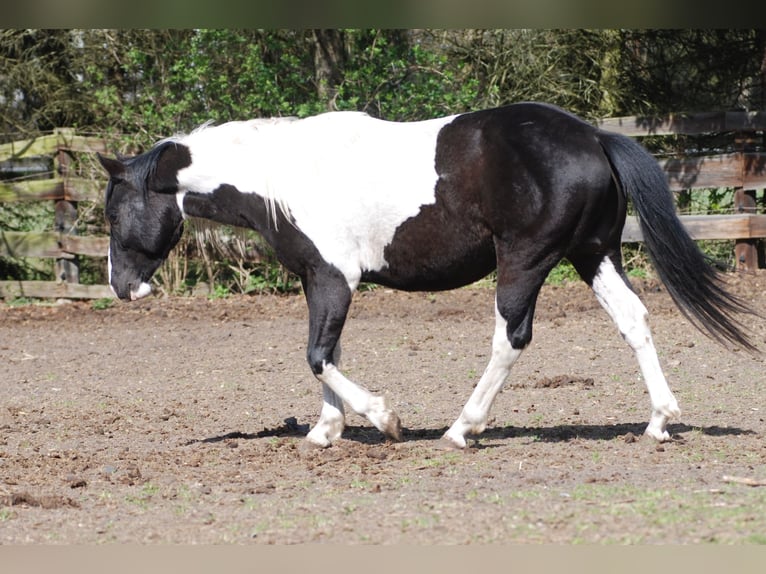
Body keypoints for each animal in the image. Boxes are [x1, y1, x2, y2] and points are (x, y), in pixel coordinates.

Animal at [98, 102, 755, 449]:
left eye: (112, 211)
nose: (122, 287)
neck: (286, 176)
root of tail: (593, 136)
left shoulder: (333, 279)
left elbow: (318, 355)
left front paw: (382, 419)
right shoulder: (319, 280)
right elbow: (327, 352)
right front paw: (326, 430)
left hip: (526, 262)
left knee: (510, 339)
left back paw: (462, 428)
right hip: (592, 255)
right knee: (634, 320)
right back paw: (658, 422)